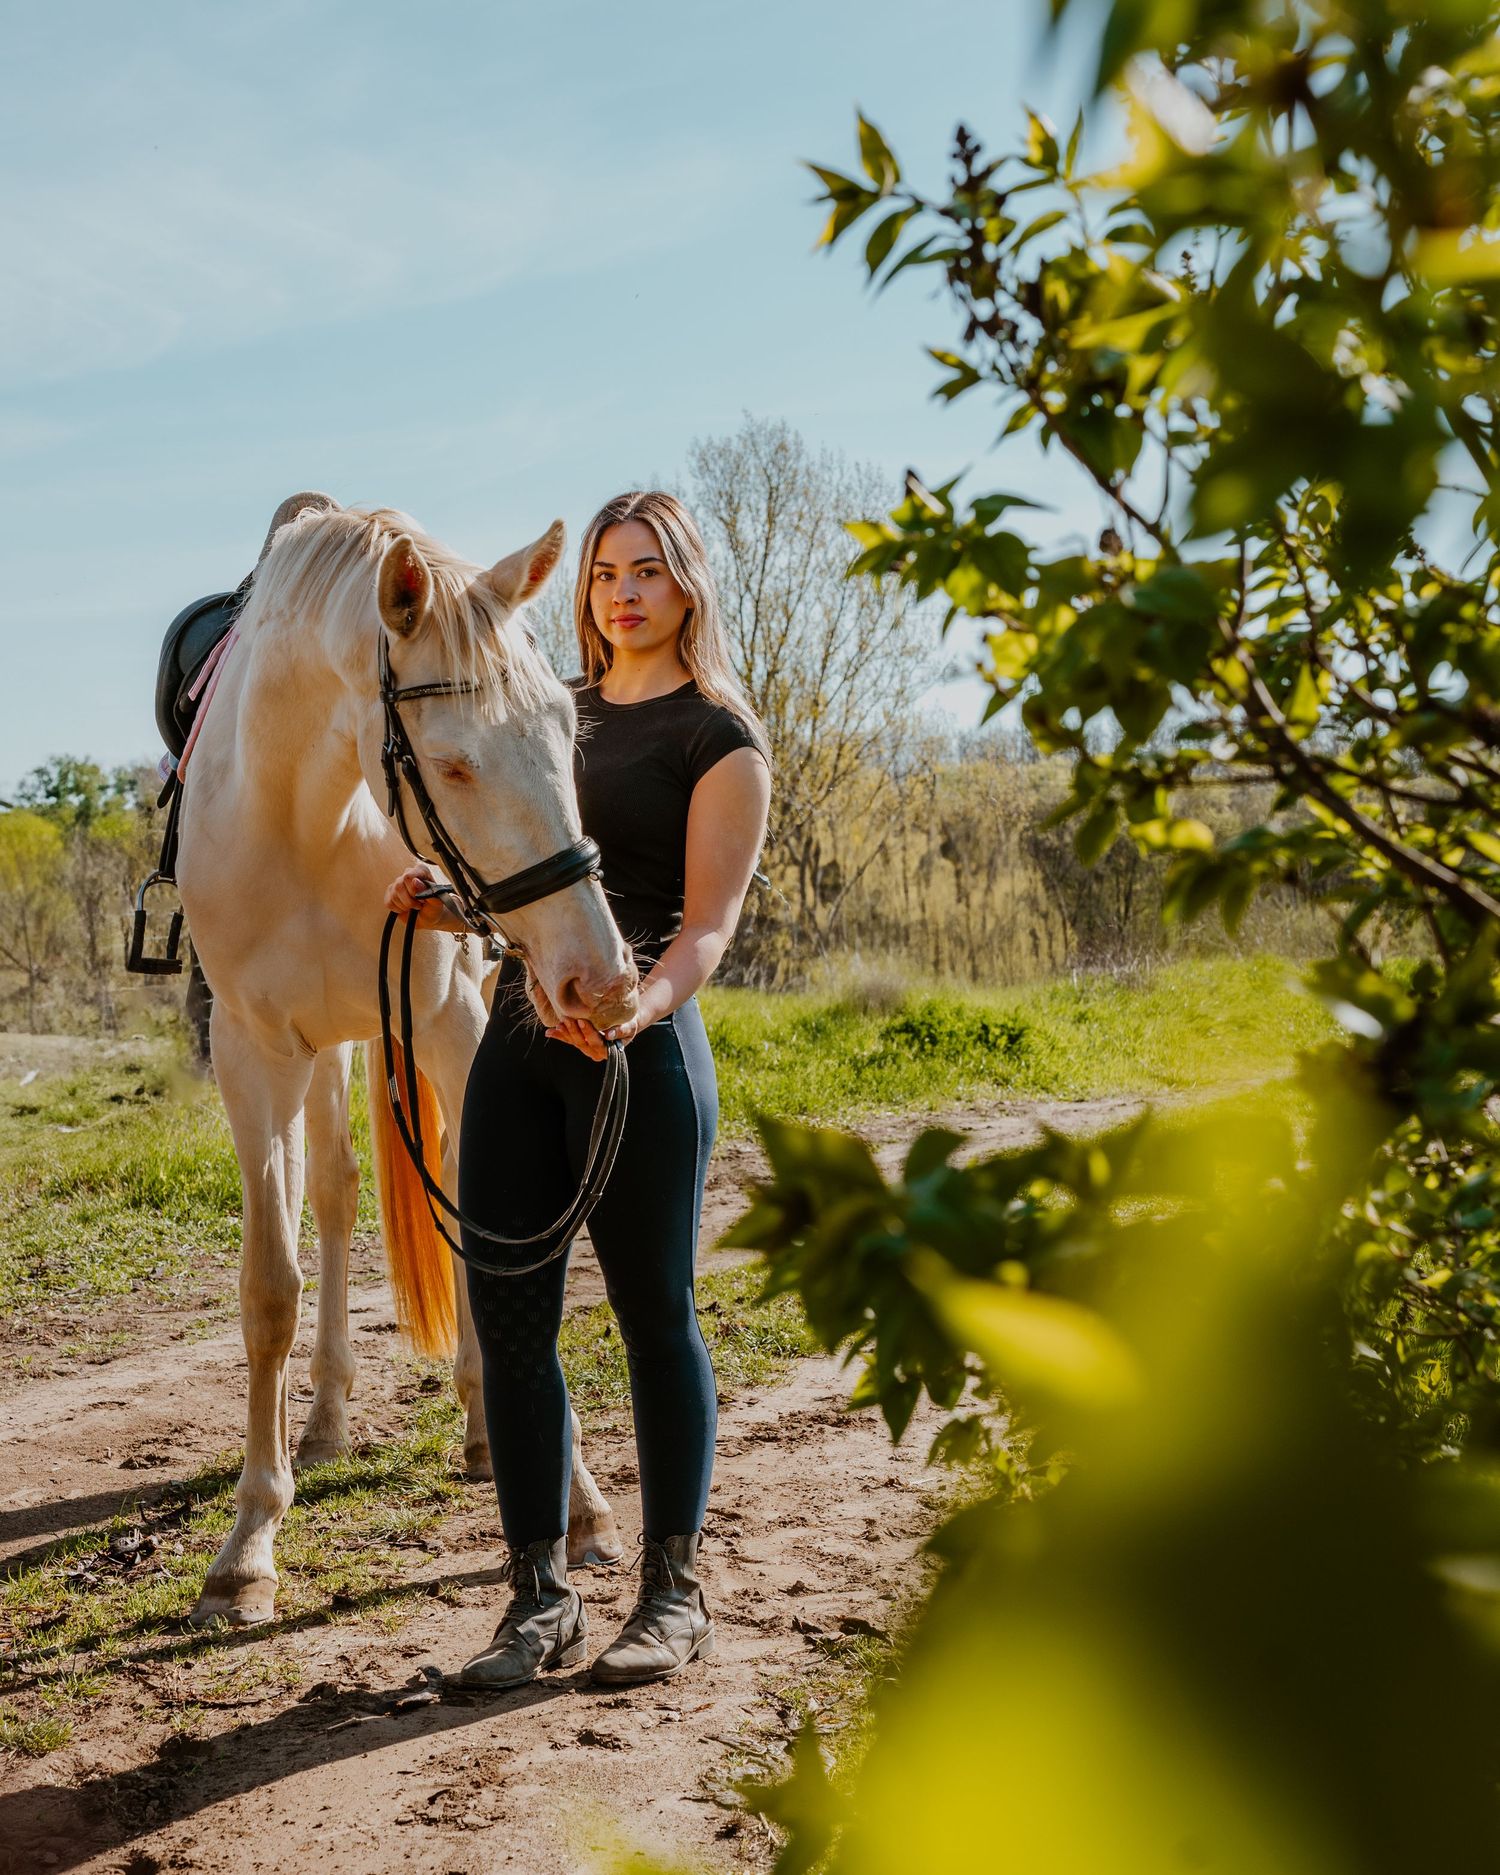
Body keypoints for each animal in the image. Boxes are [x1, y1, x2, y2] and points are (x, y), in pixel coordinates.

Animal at [176, 493, 637, 1627]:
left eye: (565, 733)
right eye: (456, 762)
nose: (602, 979)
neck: (306, 811)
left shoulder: (451, 1028)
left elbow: (492, 1246)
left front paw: (578, 1498)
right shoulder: (254, 1056)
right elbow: (270, 1288)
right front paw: (249, 1543)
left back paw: (480, 1431)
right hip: (328, 1050)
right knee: (338, 1197)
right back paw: (327, 1422)